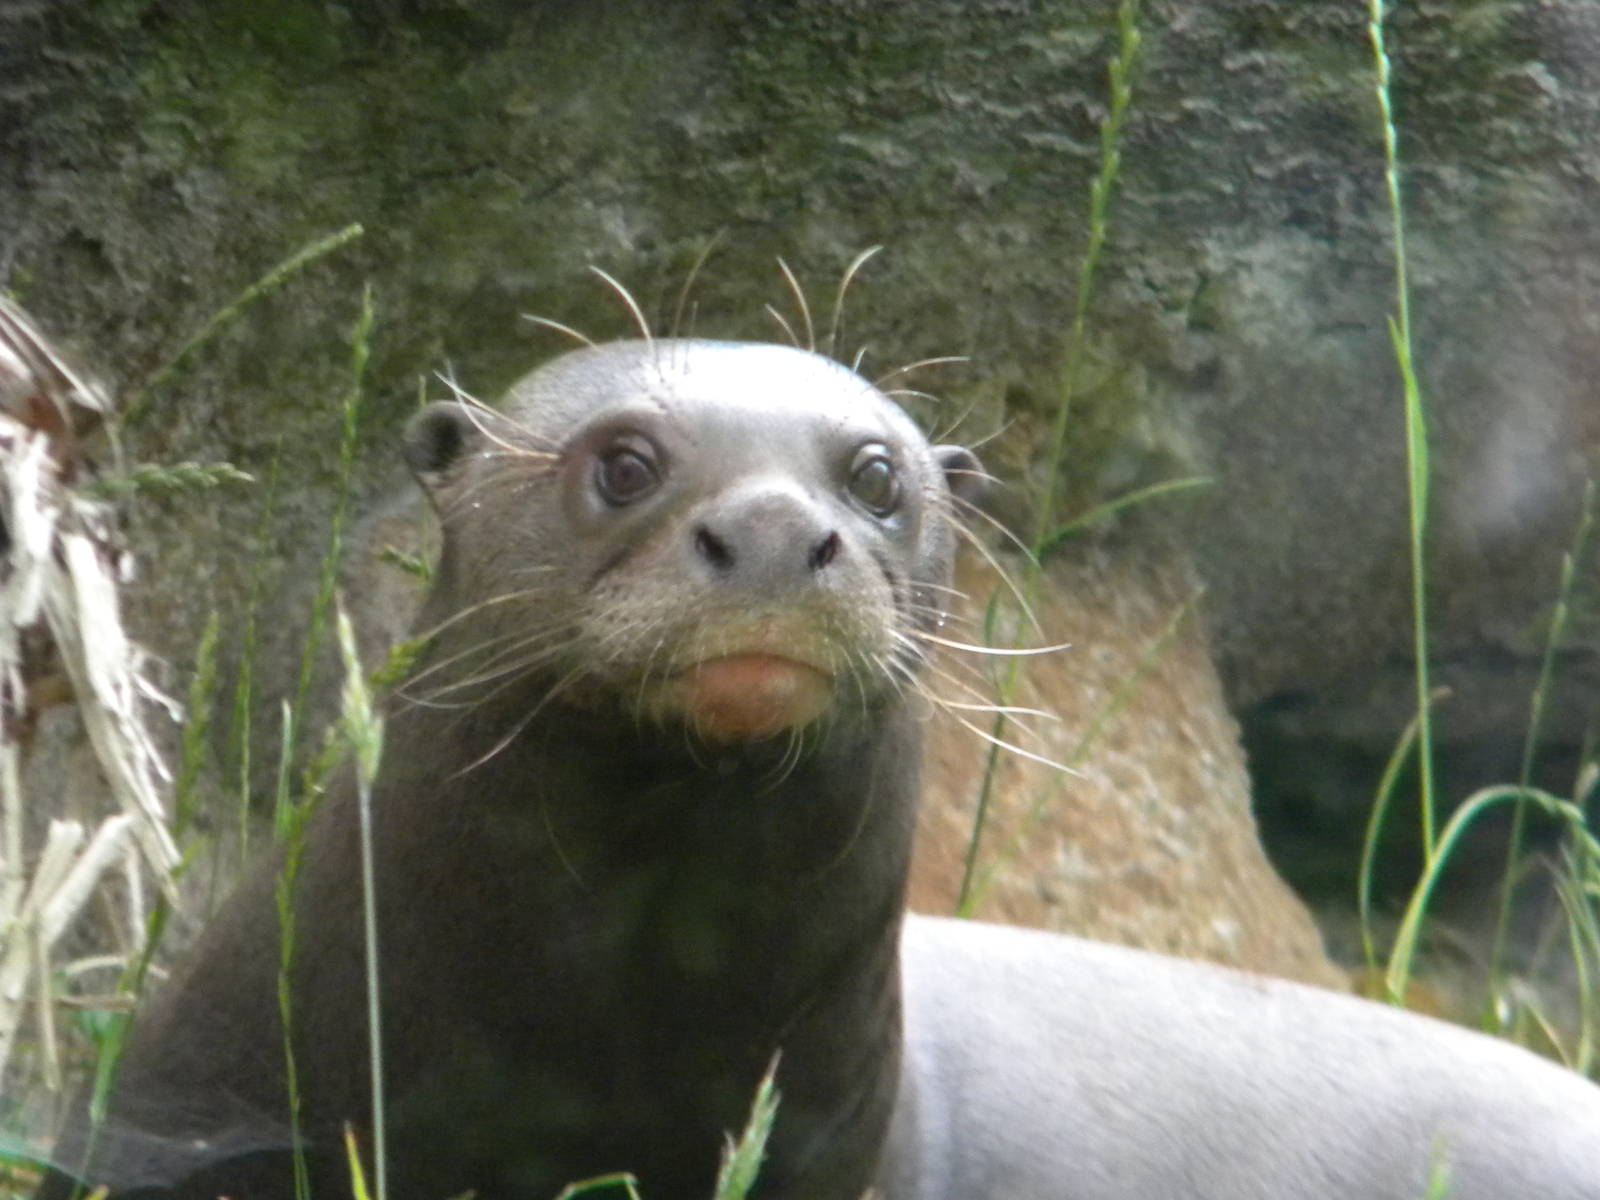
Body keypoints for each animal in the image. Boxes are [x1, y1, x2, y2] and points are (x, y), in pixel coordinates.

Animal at [41, 338, 1600, 1200]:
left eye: (873, 473)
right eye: (623, 461)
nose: (784, 533)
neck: (577, 1044)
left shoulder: (823, 1137)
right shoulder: (179, 1114)